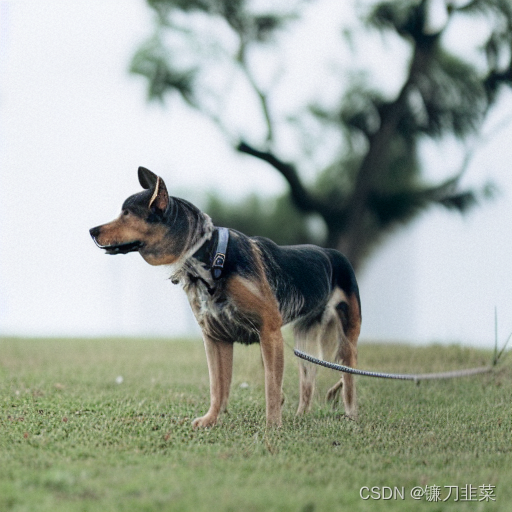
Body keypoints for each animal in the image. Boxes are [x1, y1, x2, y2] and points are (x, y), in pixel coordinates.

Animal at [89, 168, 360, 428]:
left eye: (126, 214)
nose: (91, 230)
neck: (209, 257)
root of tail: (334, 253)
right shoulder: (216, 336)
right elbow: (218, 386)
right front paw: (211, 420)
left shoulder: (269, 330)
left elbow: (271, 387)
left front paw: (273, 427)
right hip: (305, 339)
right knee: (308, 381)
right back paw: (301, 416)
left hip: (346, 338)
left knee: (348, 380)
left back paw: (349, 416)